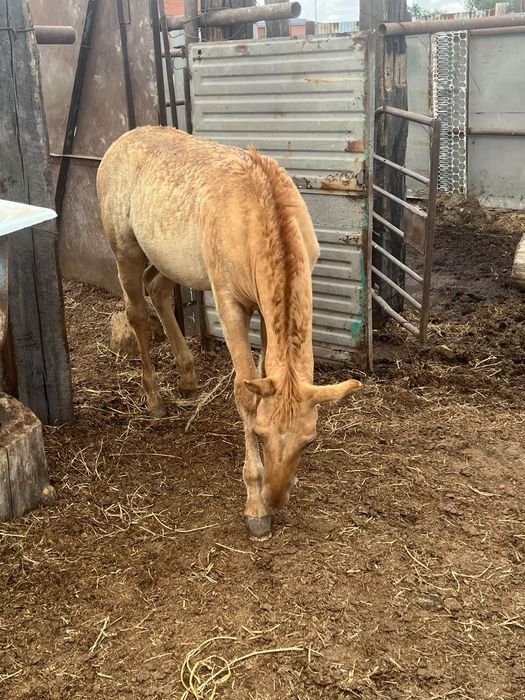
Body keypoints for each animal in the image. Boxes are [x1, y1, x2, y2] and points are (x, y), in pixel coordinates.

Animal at [96, 126, 361, 540]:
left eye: (309, 441)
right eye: (262, 434)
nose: (277, 497)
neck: (259, 215)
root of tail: (118, 143)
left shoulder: (267, 311)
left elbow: (268, 368)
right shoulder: (230, 304)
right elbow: (246, 389)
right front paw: (255, 506)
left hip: (169, 259)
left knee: (158, 289)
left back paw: (188, 378)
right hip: (126, 251)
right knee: (137, 311)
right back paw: (154, 399)